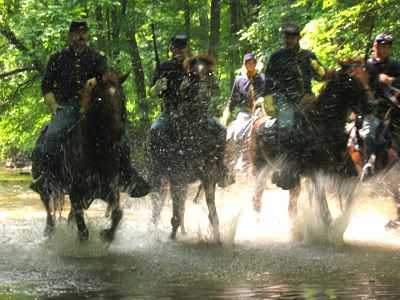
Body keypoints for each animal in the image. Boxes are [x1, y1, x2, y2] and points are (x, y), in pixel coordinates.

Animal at [31, 74, 128, 243]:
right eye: (100, 99)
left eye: (122, 97)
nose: (118, 132)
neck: (96, 153)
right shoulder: (76, 192)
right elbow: (83, 230)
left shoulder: (108, 189)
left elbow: (117, 213)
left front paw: (107, 235)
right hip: (44, 184)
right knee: (48, 206)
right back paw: (48, 231)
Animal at [148, 54, 222, 241]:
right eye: (192, 74)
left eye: (209, 73)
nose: (204, 96)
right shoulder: (177, 176)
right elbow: (174, 212)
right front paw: (172, 236)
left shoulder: (208, 176)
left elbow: (213, 214)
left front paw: (217, 239)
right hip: (159, 177)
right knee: (158, 205)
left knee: (179, 207)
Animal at [250, 58, 368, 239]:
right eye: (351, 79)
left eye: (365, 73)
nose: (371, 104)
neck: (324, 123)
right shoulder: (316, 173)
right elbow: (324, 208)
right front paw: (329, 231)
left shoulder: (341, 172)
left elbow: (348, 200)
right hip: (261, 167)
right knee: (257, 198)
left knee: (291, 204)